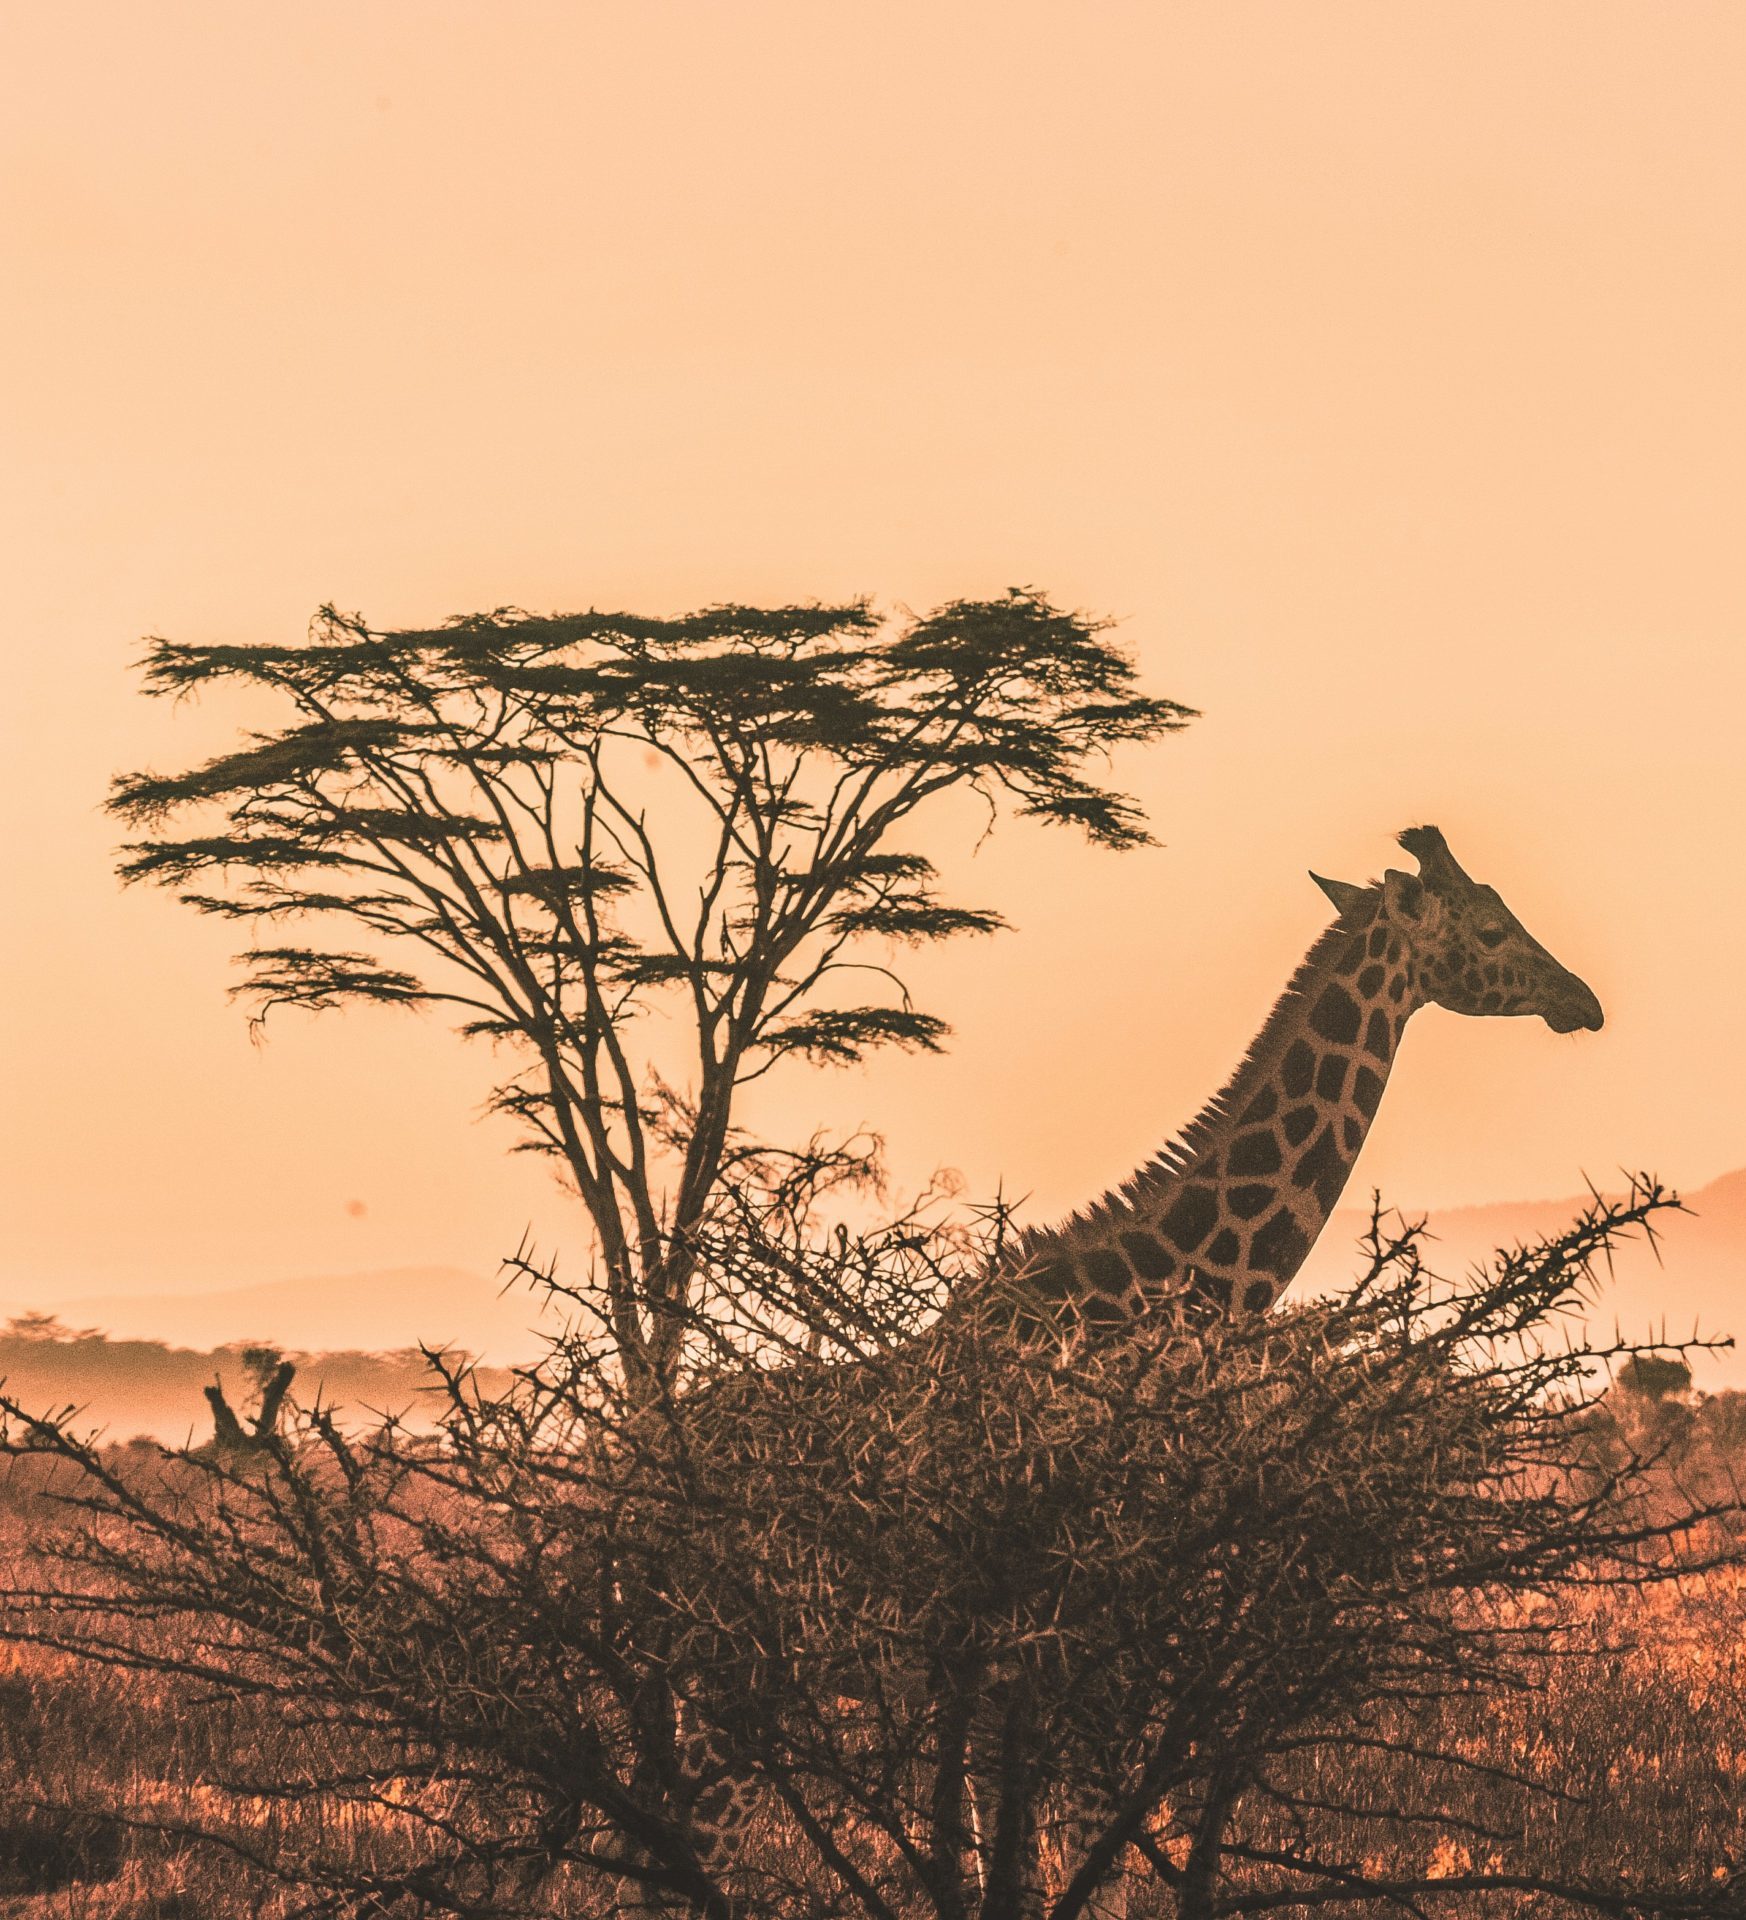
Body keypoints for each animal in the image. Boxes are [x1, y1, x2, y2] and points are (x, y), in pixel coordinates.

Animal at [656, 823, 1604, 1919]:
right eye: (1490, 926)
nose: (1583, 999)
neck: (1140, 1308)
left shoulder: (1038, 1688)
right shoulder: (1073, 1672)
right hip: (731, 1681)